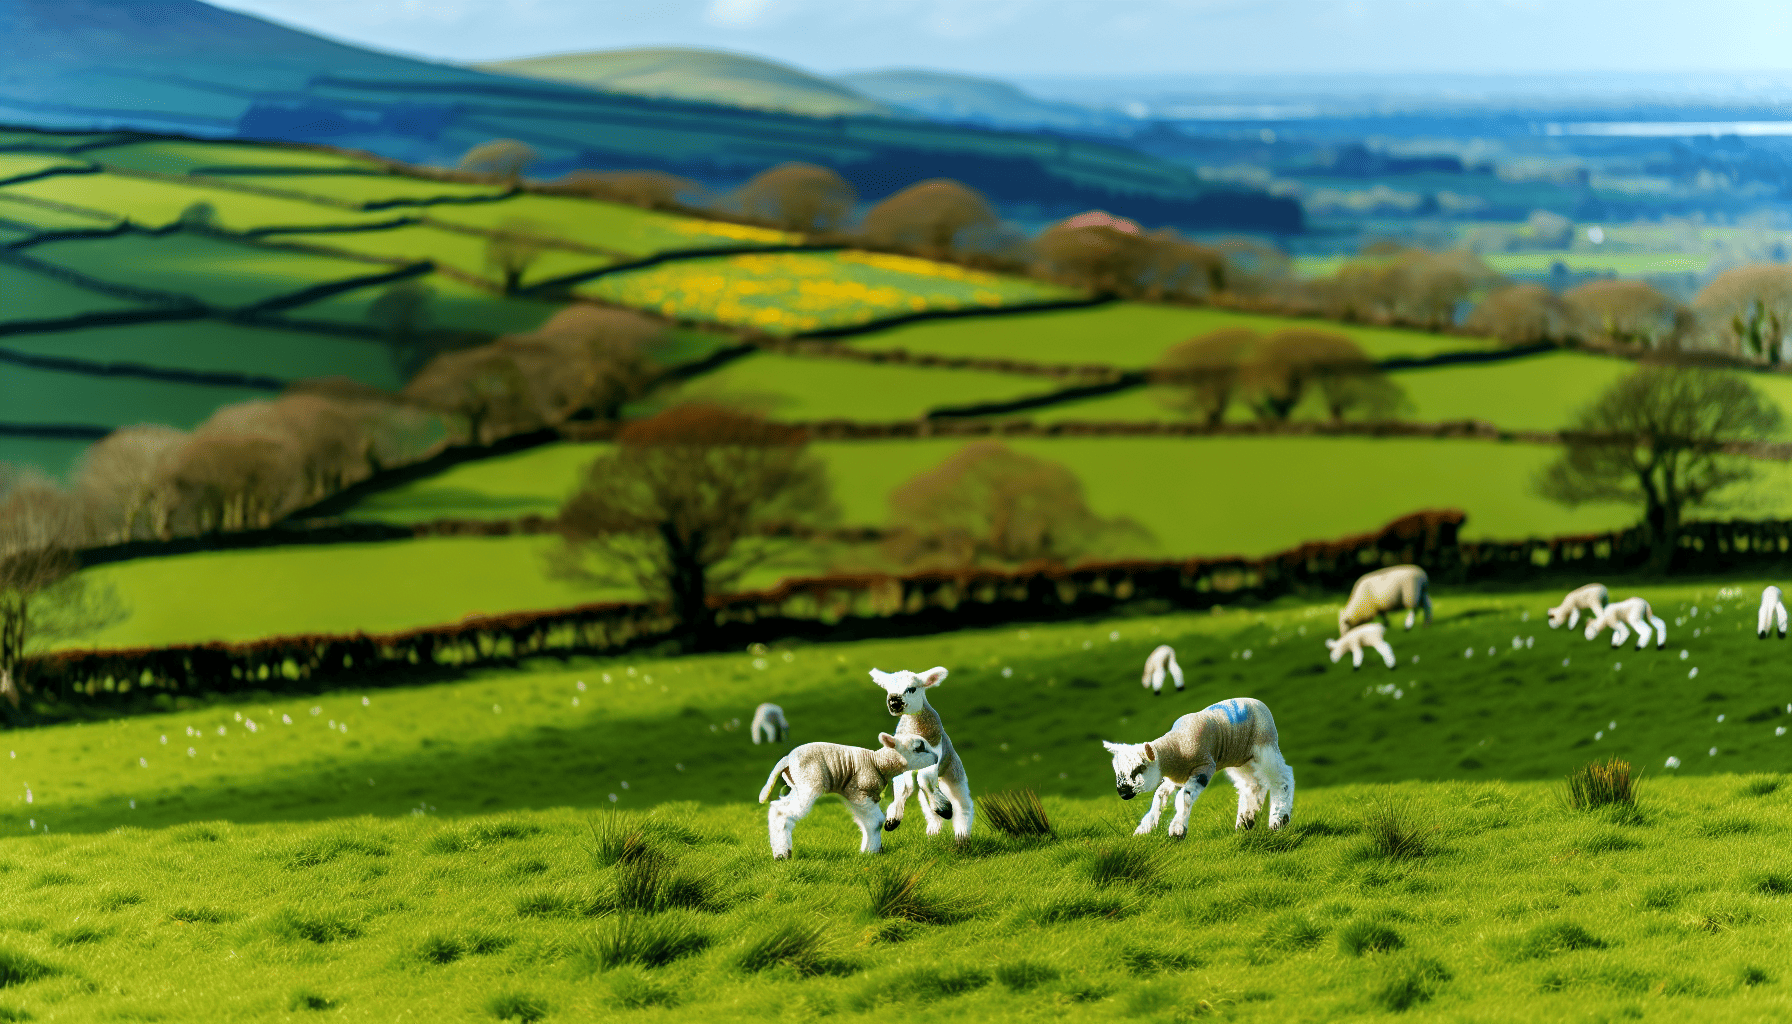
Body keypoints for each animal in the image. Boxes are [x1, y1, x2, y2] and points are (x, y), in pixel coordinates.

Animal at [756, 731, 939, 860]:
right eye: (918, 748)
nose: (937, 757)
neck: (878, 763)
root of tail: (787, 759)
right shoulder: (860, 791)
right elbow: (876, 822)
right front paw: (874, 851)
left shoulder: (855, 796)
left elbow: (866, 823)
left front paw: (868, 851)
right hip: (810, 783)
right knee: (783, 813)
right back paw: (782, 855)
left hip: (797, 786)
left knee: (776, 808)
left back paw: (781, 852)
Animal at [870, 670, 982, 846]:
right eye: (887, 689)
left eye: (912, 688)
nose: (893, 701)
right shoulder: (901, 762)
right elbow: (904, 786)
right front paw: (892, 820)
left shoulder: (934, 754)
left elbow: (923, 779)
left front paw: (945, 809)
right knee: (926, 802)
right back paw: (933, 831)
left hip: (954, 771)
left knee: (962, 803)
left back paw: (961, 835)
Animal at [1096, 695, 1297, 842]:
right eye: (1117, 772)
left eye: (1139, 768)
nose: (1122, 793)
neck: (1175, 746)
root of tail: (1256, 701)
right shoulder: (1175, 777)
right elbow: (1159, 796)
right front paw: (1144, 828)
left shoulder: (1204, 767)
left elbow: (1184, 796)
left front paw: (1177, 829)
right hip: (1241, 758)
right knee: (1253, 785)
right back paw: (1246, 821)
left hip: (1264, 745)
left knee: (1282, 777)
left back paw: (1279, 820)